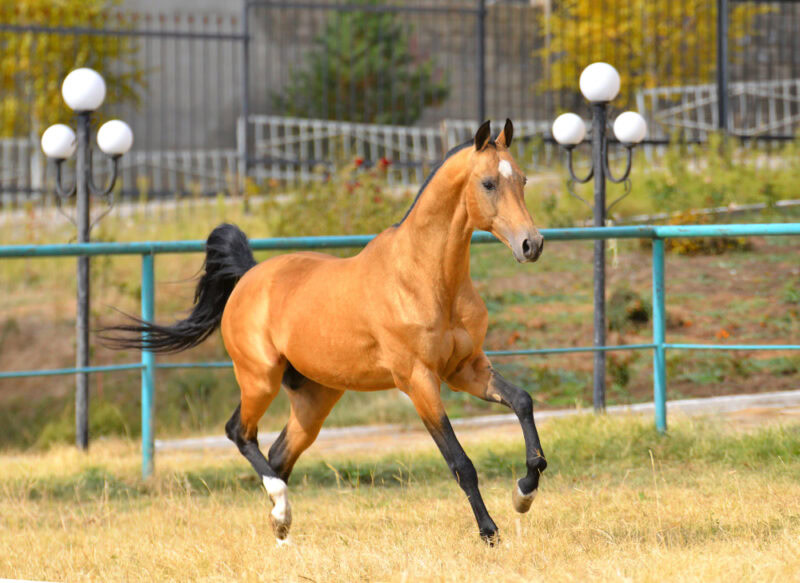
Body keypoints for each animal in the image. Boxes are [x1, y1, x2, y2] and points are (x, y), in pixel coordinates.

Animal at [106, 119, 547, 545]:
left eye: (523, 180)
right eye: (488, 183)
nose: (532, 244)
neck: (425, 276)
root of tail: (249, 275)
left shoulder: (465, 368)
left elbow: (523, 401)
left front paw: (523, 493)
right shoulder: (419, 380)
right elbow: (460, 462)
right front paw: (490, 531)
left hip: (313, 399)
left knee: (278, 455)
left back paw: (282, 530)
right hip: (259, 379)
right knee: (240, 433)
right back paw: (281, 511)